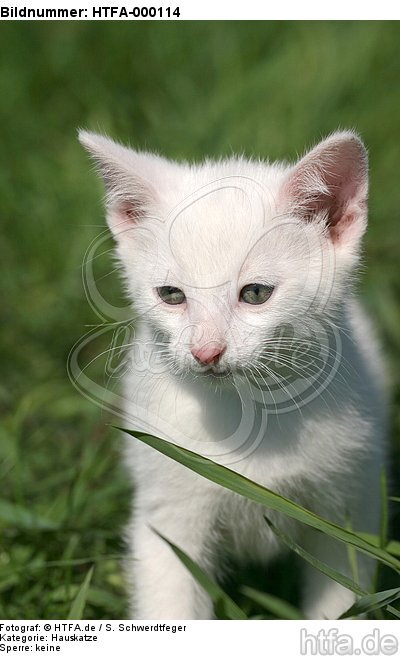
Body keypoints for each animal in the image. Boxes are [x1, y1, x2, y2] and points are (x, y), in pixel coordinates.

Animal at [79, 129, 388, 620]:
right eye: (171, 295)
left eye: (256, 293)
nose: (206, 351)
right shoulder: (169, 512)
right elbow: (171, 606)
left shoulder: (348, 506)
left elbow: (341, 597)